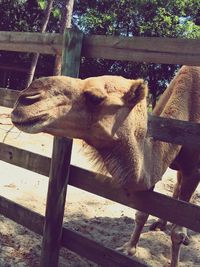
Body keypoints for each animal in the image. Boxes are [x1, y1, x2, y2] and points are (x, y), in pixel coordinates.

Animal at [11, 65, 200, 267]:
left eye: (95, 97)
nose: (25, 99)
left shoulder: (193, 171)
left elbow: (177, 231)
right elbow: (142, 212)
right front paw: (128, 248)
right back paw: (161, 224)